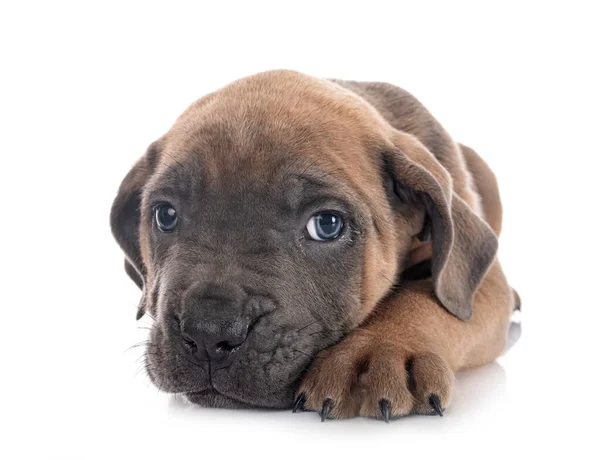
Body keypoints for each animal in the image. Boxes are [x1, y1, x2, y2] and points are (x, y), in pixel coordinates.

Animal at [110, 71, 516, 420]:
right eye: (165, 215)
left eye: (326, 225)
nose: (208, 333)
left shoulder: (481, 285)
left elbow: (425, 300)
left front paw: (381, 349)